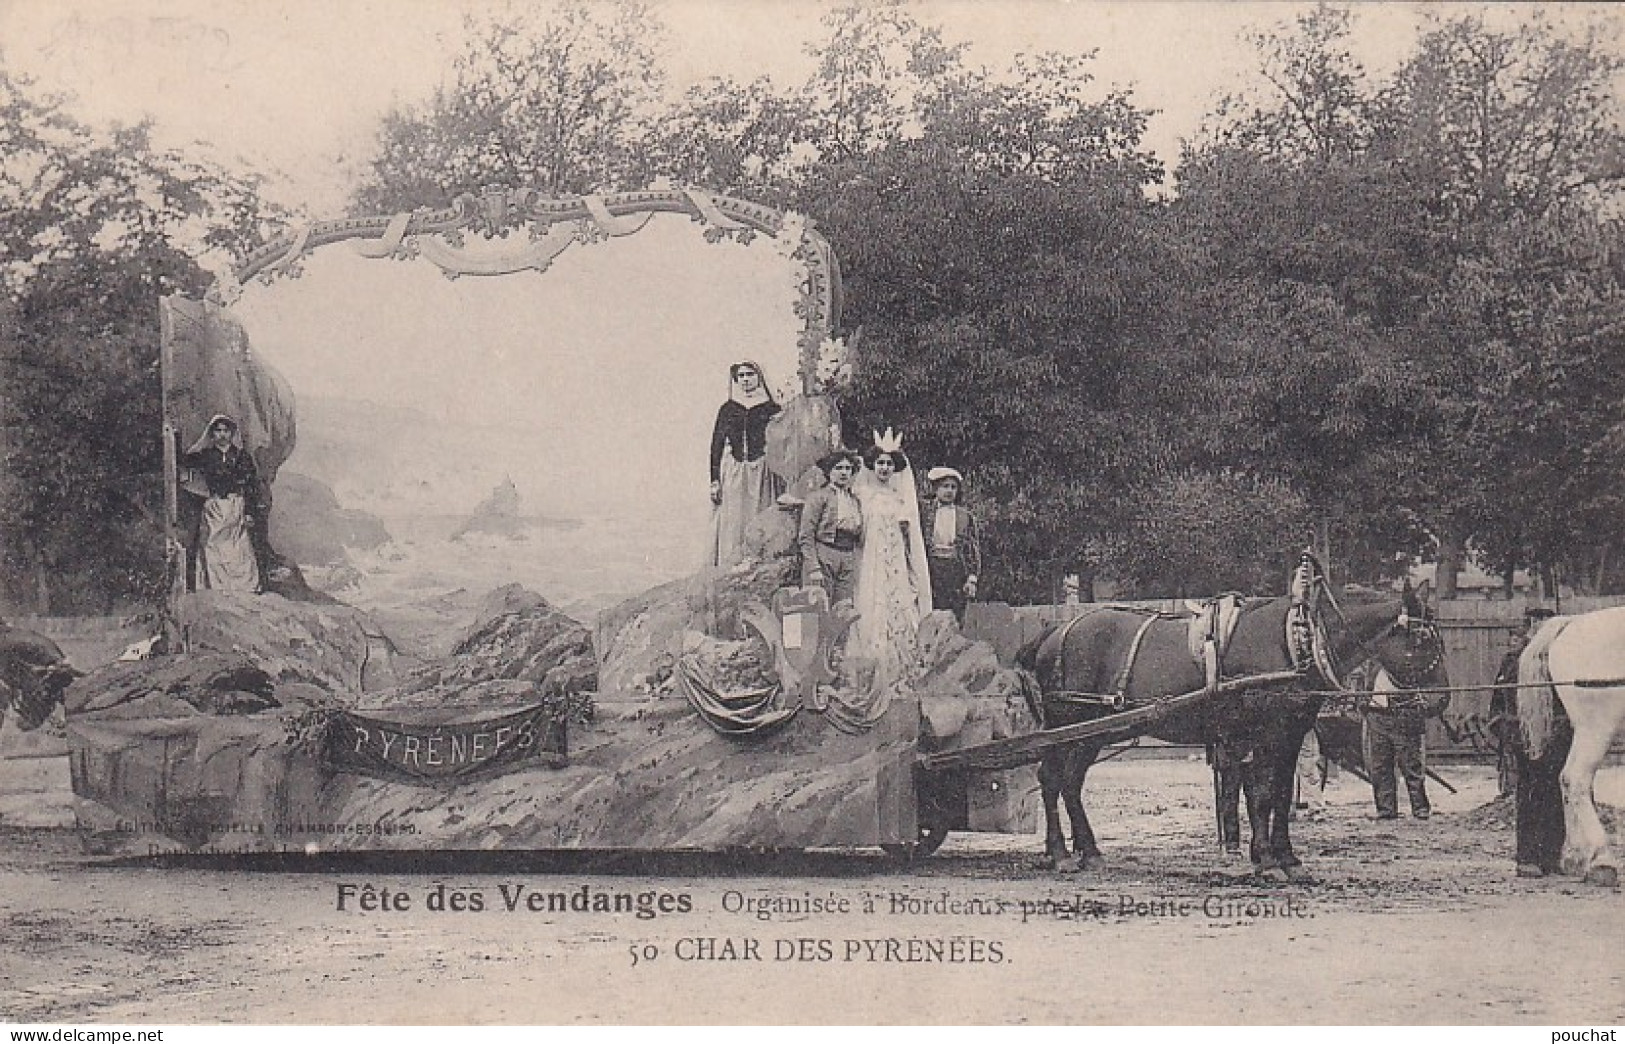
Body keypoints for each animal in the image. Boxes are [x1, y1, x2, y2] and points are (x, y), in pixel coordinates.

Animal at [1014, 569, 1449, 878]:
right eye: (1424, 639)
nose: (1441, 698)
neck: (1298, 641)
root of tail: (1054, 631)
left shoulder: (1289, 735)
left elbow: (1278, 795)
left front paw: (1285, 858)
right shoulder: (1266, 733)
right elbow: (1263, 795)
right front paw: (1268, 861)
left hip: (1094, 730)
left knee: (1067, 782)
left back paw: (1083, 852)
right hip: (1070, 721)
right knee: (1054, 779)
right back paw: (1063, 853)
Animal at [1514, 601, 1625, 884]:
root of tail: (1571, 622)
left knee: (1566, 780)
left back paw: (1576, 859)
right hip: (1596, 727)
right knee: (1575, 778)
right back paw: (1602, 860)